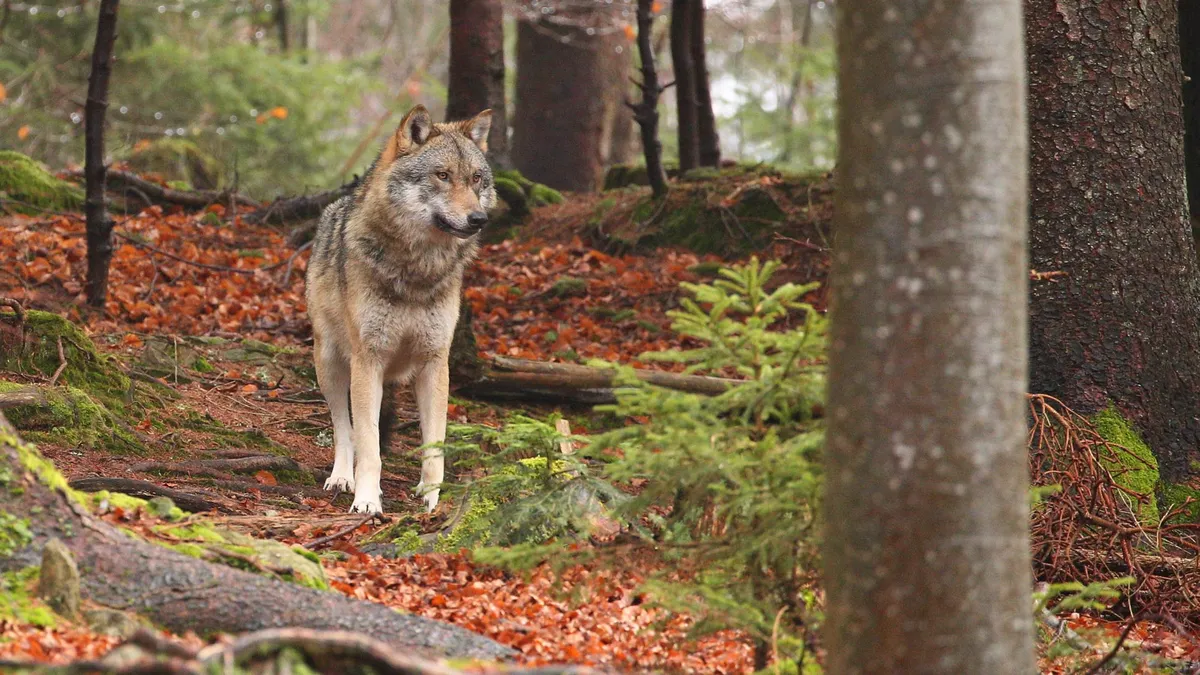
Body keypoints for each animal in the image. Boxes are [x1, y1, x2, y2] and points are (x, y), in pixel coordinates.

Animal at [305, 104, 495, 514]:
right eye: (442, 175)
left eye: (475, 179)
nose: (479, 220)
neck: (418, 271)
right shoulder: (368, 359)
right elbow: (368, 446)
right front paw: (366, 500)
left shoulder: (435, 362)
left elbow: (434, 445)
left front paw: (432, 499)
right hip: (330, 363)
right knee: (344, 428)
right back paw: (343, 477)